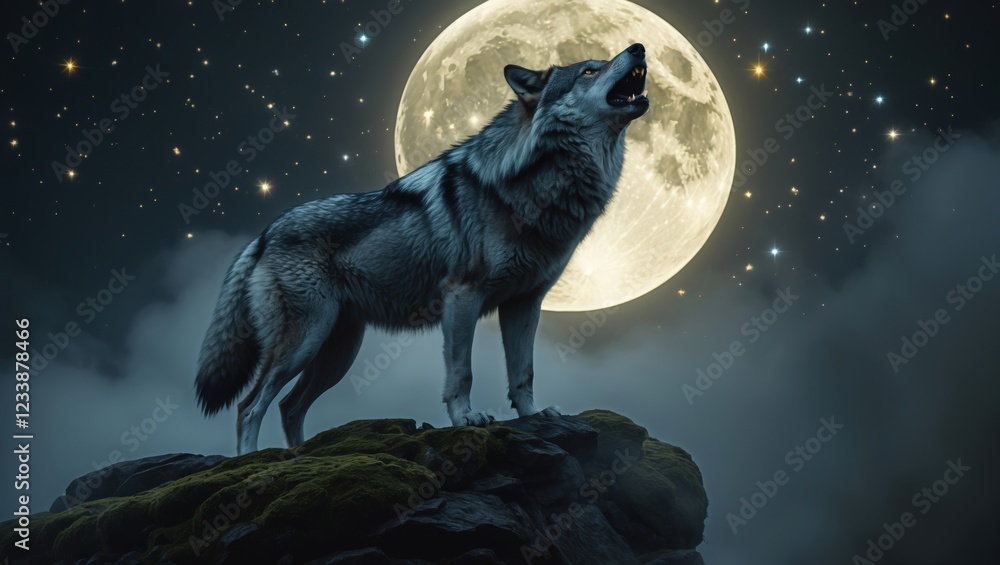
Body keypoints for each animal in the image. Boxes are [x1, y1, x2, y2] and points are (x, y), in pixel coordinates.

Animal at [195, 44, 650, 454]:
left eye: (603, 59)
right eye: (589, 70)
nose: (639, 47)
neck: (538, 184)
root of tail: (263, 234)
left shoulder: (525, 303)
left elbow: (524, 373)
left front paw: (534, 416)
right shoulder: (462, 297)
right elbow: (462, 372)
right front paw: (466, 417)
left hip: (336, 351)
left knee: (289, 406)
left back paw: (299, 459)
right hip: (306, 340)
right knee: (250, 405)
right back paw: (253, 463)